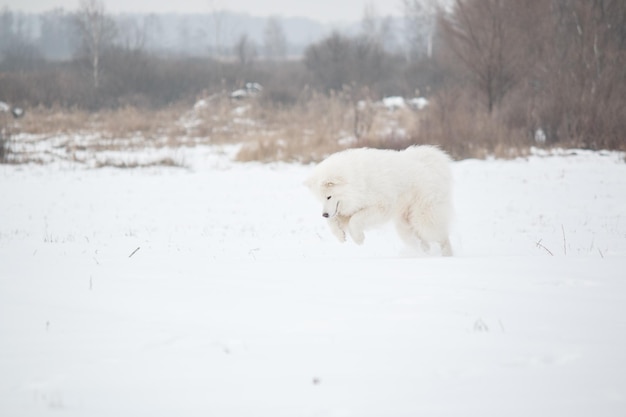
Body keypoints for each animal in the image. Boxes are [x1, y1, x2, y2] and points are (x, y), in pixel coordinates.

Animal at [304, 146, 450, 256]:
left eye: (329, 196)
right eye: (320, 199)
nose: (324, 214)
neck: (358, 182)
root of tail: (427, 162)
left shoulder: (380, 206)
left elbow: (355, 220)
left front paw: (359, 239)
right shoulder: (346, 210)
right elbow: (334, 222)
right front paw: (340, 236)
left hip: (423, 218)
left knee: (441, 236)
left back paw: (446, 254)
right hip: (404, 226)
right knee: (420, 241)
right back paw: (424, 252)